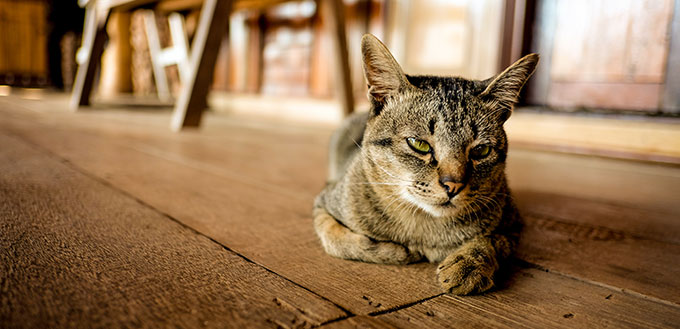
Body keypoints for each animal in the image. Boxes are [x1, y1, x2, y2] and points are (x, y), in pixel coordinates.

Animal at [314, 34, 540, 294]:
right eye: (419, 144)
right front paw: (396, 251)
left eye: (480, 150)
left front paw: (469, 265)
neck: (424, 226)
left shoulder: (513, 223)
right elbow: (338, 240)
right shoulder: (323, 203)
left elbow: (491, 241)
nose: (453, 185)